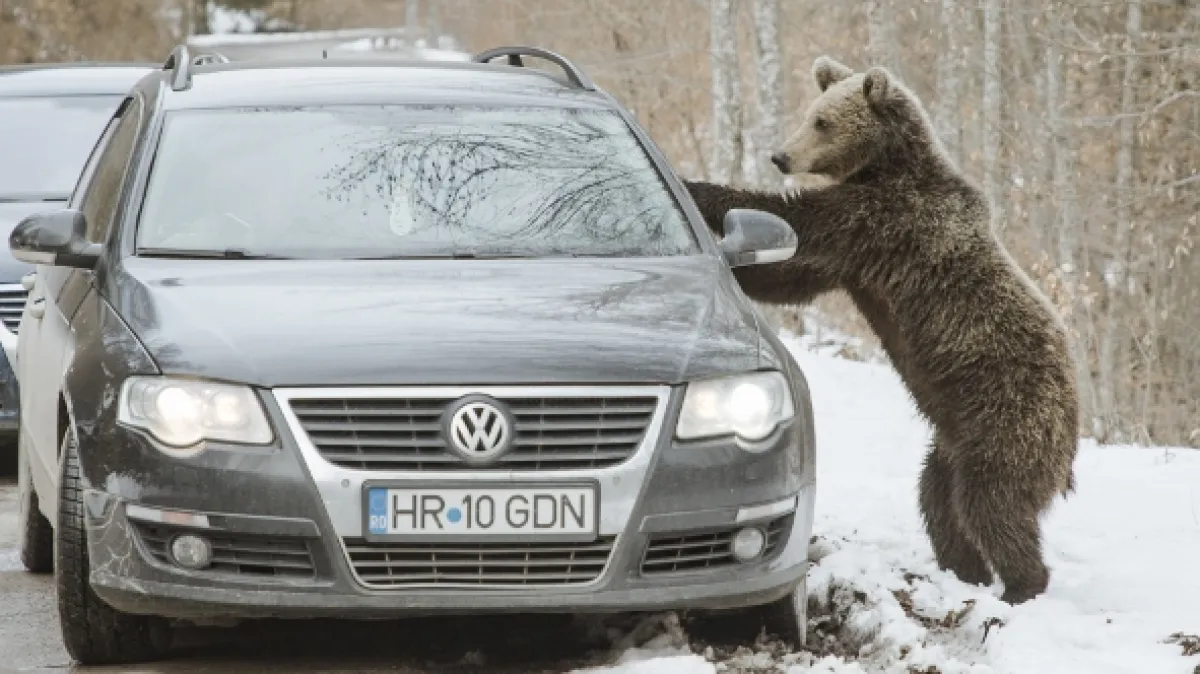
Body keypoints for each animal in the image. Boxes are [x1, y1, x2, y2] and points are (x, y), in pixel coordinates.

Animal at [682, 56, 1079, 605]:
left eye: (822, 121)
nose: (781, 155)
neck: (889, 164)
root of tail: (1071, 433)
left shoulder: (887, 220)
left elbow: (803, 220)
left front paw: (700, 189)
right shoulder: (858, 261)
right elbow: (792, 276)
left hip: (1008, 417)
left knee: (991, 503)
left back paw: (1020, 586)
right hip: (954, 438)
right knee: (939, 498)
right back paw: (964, 571)